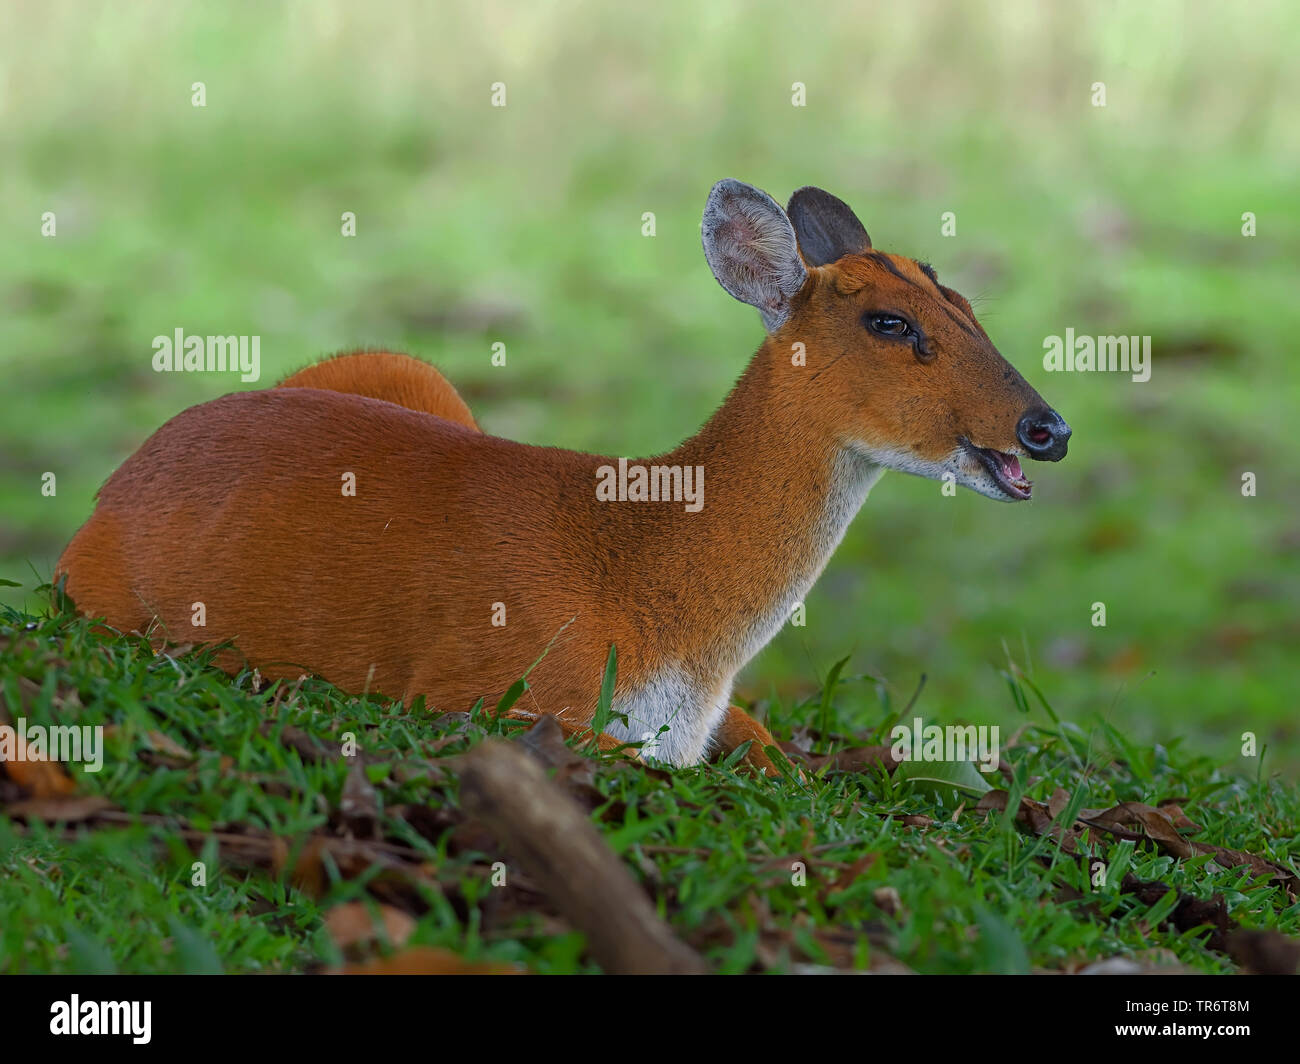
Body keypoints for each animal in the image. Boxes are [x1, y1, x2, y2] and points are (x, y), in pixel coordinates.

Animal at [55, 180, 1071, 770]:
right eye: (890, 323)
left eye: (966, 302)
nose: (1047, 427)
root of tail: (107, 494)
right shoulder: (475, 690)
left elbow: (772, 751)